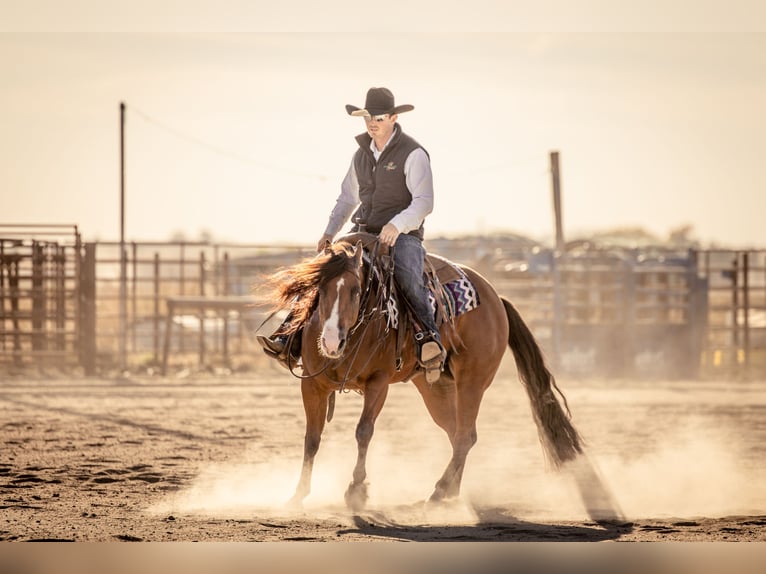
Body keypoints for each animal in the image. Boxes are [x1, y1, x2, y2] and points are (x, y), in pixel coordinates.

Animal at [268, 233, 584, 512]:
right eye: (319, 290)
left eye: (356, 291)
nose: (331, 342)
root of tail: (497, 300)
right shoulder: (312, 385)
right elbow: (312, 437)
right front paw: (297, 495)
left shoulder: (378, 383)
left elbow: (363, 432)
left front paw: (356, 491)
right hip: (436, 388)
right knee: (456, 433)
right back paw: (451, 492)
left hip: (472, 382)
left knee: (465, 436)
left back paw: (439, 492)